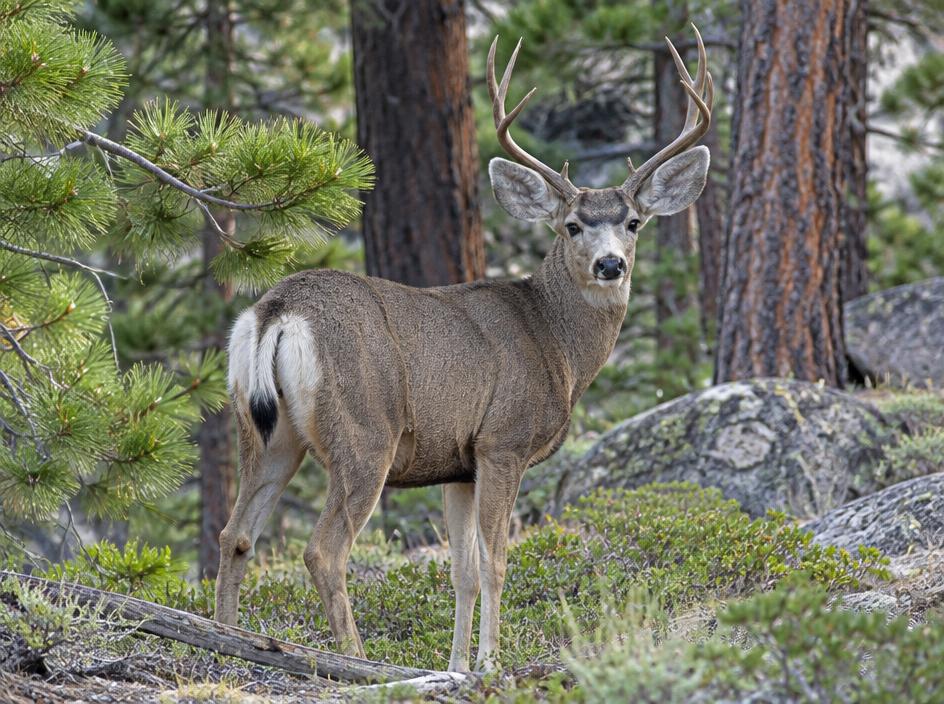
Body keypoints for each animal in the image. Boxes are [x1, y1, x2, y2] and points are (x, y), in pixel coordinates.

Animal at [215, 25, 713, 672]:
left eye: (632, 222)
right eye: (572, 226)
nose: (611, 265)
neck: (556, 343)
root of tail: (277, 309)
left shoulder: (458, 463)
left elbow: (463, 572)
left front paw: (455, 666)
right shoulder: (503, 441)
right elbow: (497, 563)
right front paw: (490, 663)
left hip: (265, 430)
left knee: (236, 534)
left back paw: (226, 642)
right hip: (364, 430)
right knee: (323, 551)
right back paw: (358, 660)